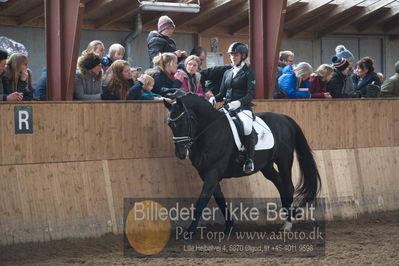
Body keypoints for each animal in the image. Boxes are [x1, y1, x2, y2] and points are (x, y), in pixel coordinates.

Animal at [163, 94, 322, 234]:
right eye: (170, 124)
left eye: (184, 122)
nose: (181, 154)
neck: (211, 131)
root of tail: (285, 119)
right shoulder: (206, 174)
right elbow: (219, 199)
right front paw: (229, 226)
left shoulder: (213, 173)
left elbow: (202, 201)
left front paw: (189, 232)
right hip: (266, 166)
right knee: (280, 183)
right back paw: (289, 214)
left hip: (284, 160)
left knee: (288, 186)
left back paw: (288, 224)